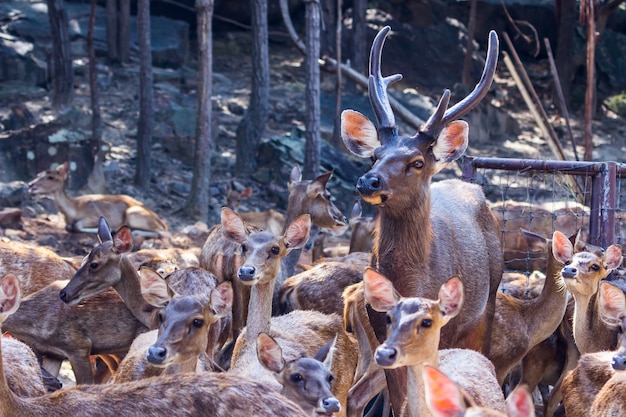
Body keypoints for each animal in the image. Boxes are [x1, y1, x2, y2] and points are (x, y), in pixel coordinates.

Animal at [28, 160, 167, 236]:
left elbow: (77, 226)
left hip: (133, 214)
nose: (31, 185)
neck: (73, 210)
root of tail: (162, 222)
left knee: (162, 233)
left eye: (50, 177)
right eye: (38, 174)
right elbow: (69, 226)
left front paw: (110, 229)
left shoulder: (93, 215)